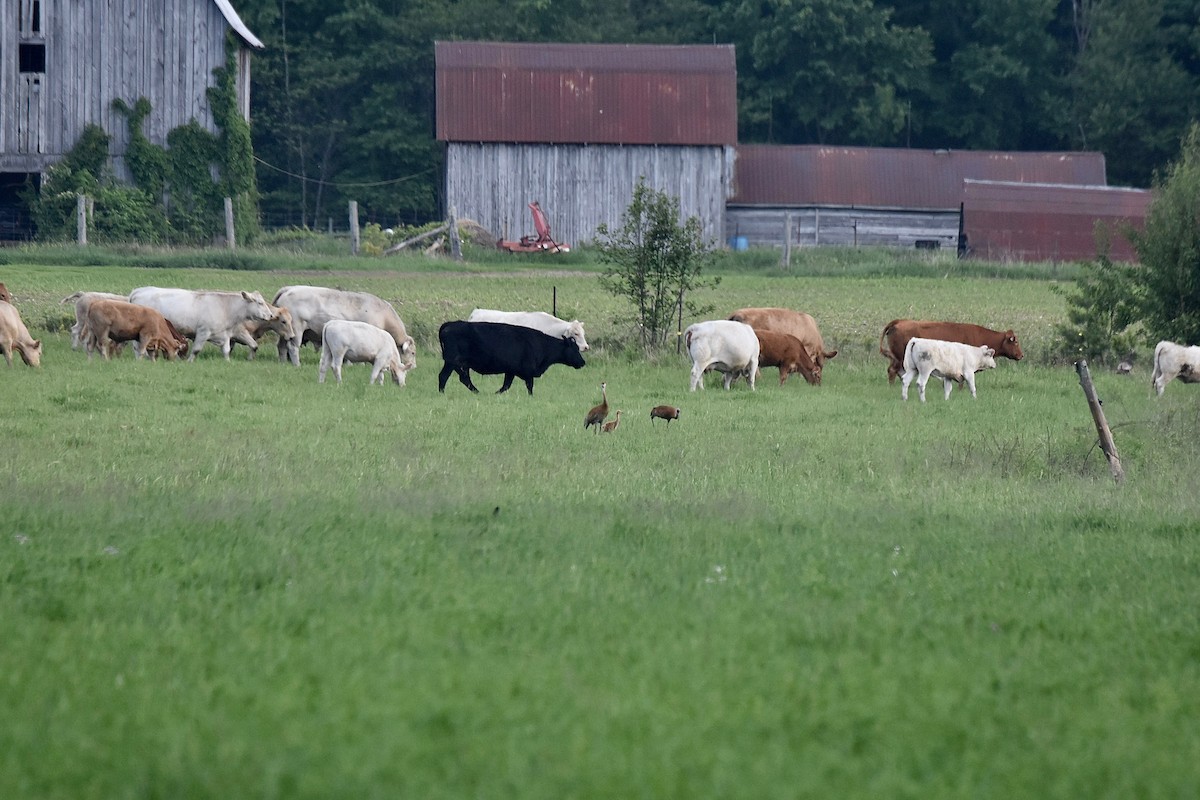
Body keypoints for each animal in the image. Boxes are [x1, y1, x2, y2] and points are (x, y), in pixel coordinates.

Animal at [129, 286, 290, 362]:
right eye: (260, 303)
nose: (270, 315)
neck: (225, 307)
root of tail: (138, 291)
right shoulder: (203, 332)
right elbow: (196, 350)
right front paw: (189, 361)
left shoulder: (225, 335)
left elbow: (226, 351)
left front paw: (228, 362)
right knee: (138, 346)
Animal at [276, 284, 417, 369]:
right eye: (413, 352)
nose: (413, 366)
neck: (383, 315)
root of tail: (289, 289)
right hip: (296, 330)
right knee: (292, 347)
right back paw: (297, 364)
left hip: (285, 332)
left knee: (281, 346)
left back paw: (283, 363)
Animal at [441, 319, 590, 393]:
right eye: (575, 349)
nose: (582, 362)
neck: (542, 344)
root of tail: (450, 324)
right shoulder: (528, 372)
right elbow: (529, 387)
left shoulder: (510, 371)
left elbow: (505, 386)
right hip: (451, 361)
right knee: (444, 376)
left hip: (459, 364)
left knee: (464, 378)